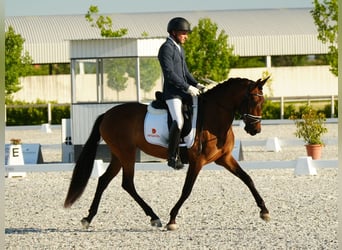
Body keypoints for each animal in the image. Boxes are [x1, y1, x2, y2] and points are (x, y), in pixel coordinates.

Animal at [64, 76, 272, 230]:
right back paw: (154, 217)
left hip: (118, 155)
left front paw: (264, 211)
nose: (256, 130)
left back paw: (89, 218)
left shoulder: (224, 158)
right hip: (126, 153)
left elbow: (247, 179)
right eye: (253, 99)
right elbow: (187, 190)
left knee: (105, 181)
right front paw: (172, 219)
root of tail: (107, 114)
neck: (214, 118)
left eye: (263, 100)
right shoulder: (197, 162)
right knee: (127, 183)